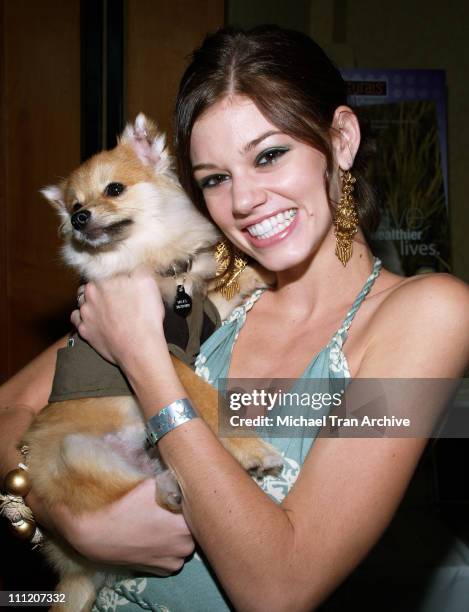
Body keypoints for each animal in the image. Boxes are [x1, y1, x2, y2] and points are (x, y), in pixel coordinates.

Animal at [22, 115, 280, 612]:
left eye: (114, 189)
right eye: (75, 206)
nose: (79, 218)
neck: (153, 261)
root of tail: (78, 568)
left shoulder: (206, 312)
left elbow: (226, 292)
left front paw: (264, 273)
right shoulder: (164, 354)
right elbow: (206, 399)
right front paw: (249, 448)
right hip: (76, 455)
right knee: (128, 492)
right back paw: (170, 487)